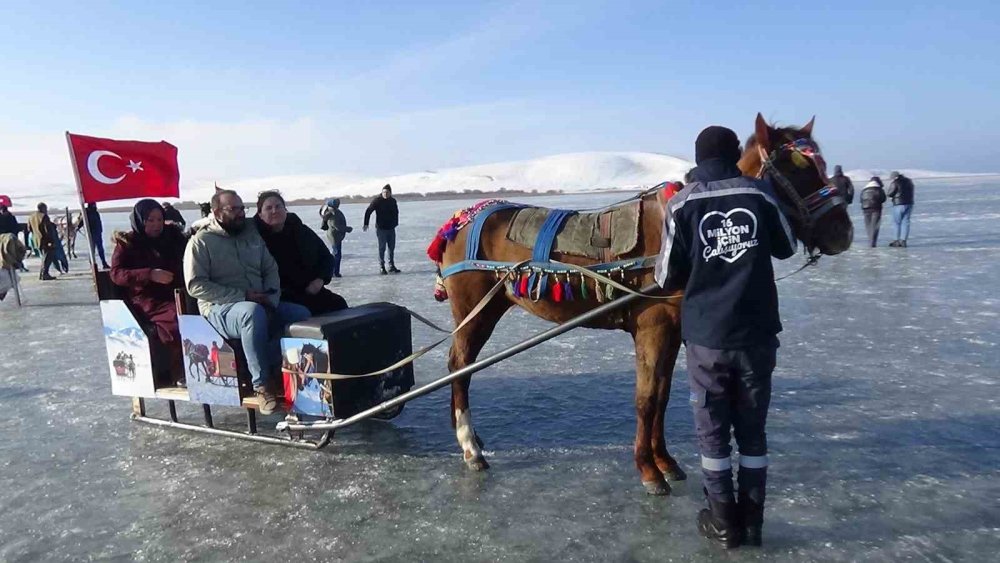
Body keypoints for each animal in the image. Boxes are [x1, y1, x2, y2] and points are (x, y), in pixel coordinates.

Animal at [430, 114, 852, 494]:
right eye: (797, 168)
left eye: (822, 164)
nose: (842, 232)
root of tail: (459, 220)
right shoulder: (653, 328)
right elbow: (646, 399)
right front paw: (648, 470)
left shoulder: (674, 332)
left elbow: (662, 396)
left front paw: (665, 461)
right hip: (476, 311)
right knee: (460, 367)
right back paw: (469, 445)